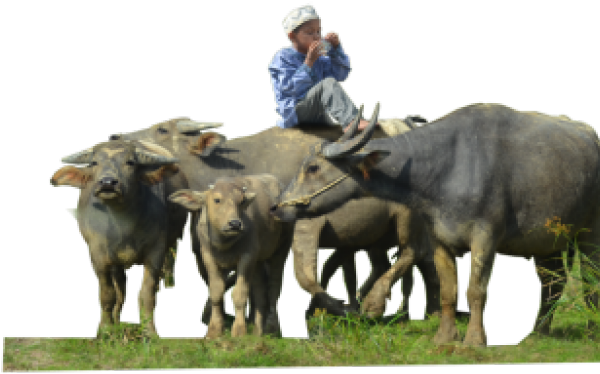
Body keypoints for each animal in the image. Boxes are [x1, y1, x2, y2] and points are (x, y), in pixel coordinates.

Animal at [50, 138, 182, 336]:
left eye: (130, 162)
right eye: (94, 163)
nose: (108, 183)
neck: (123, 226)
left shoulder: (156, 252)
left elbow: (147, 294)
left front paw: (149, 331)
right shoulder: (98, 257)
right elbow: (108, 294)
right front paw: (105, 329)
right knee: (120, 291)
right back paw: (116, 321)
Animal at [169, 174, 292, 338]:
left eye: (241, 202)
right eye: (217, 200)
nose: (234, 224)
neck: (224, 242)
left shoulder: (247, 257)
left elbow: (240, 293)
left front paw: (239, 330)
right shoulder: (208, 256)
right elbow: (216, 291)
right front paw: (214, 329)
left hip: (282, 248)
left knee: (274, 285)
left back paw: (272, 328)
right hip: (258, 261)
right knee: (260, 289)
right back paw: (258, 331)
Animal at [274, 101, 600, 344]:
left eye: (313, 167)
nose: (278, 207)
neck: (445, 167)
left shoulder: (485, 236)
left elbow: (475, 290)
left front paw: (473, 340)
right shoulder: (439, 238)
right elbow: (448, 290)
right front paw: (444, 337)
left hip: (588, 232)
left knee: (589, 278)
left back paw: (590, 331)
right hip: (547, 239)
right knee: (553, 281)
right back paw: (538, 333)